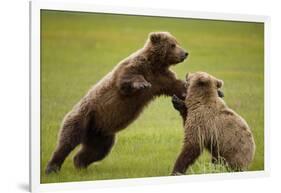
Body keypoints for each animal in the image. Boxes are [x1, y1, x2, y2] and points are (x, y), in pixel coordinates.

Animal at [45, 31, 188, 173]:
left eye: (177, 42)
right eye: (172, 45)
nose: (185, 53)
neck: (155, 64)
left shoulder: (162, 79)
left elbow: (177, 86)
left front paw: (185, 90)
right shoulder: (135, 68)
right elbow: (126, 79)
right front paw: (142, 84)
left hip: (101, 133)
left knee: (97, 150)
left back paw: (80, 164)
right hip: (84, 116)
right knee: (68, 140)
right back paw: (52, 167)